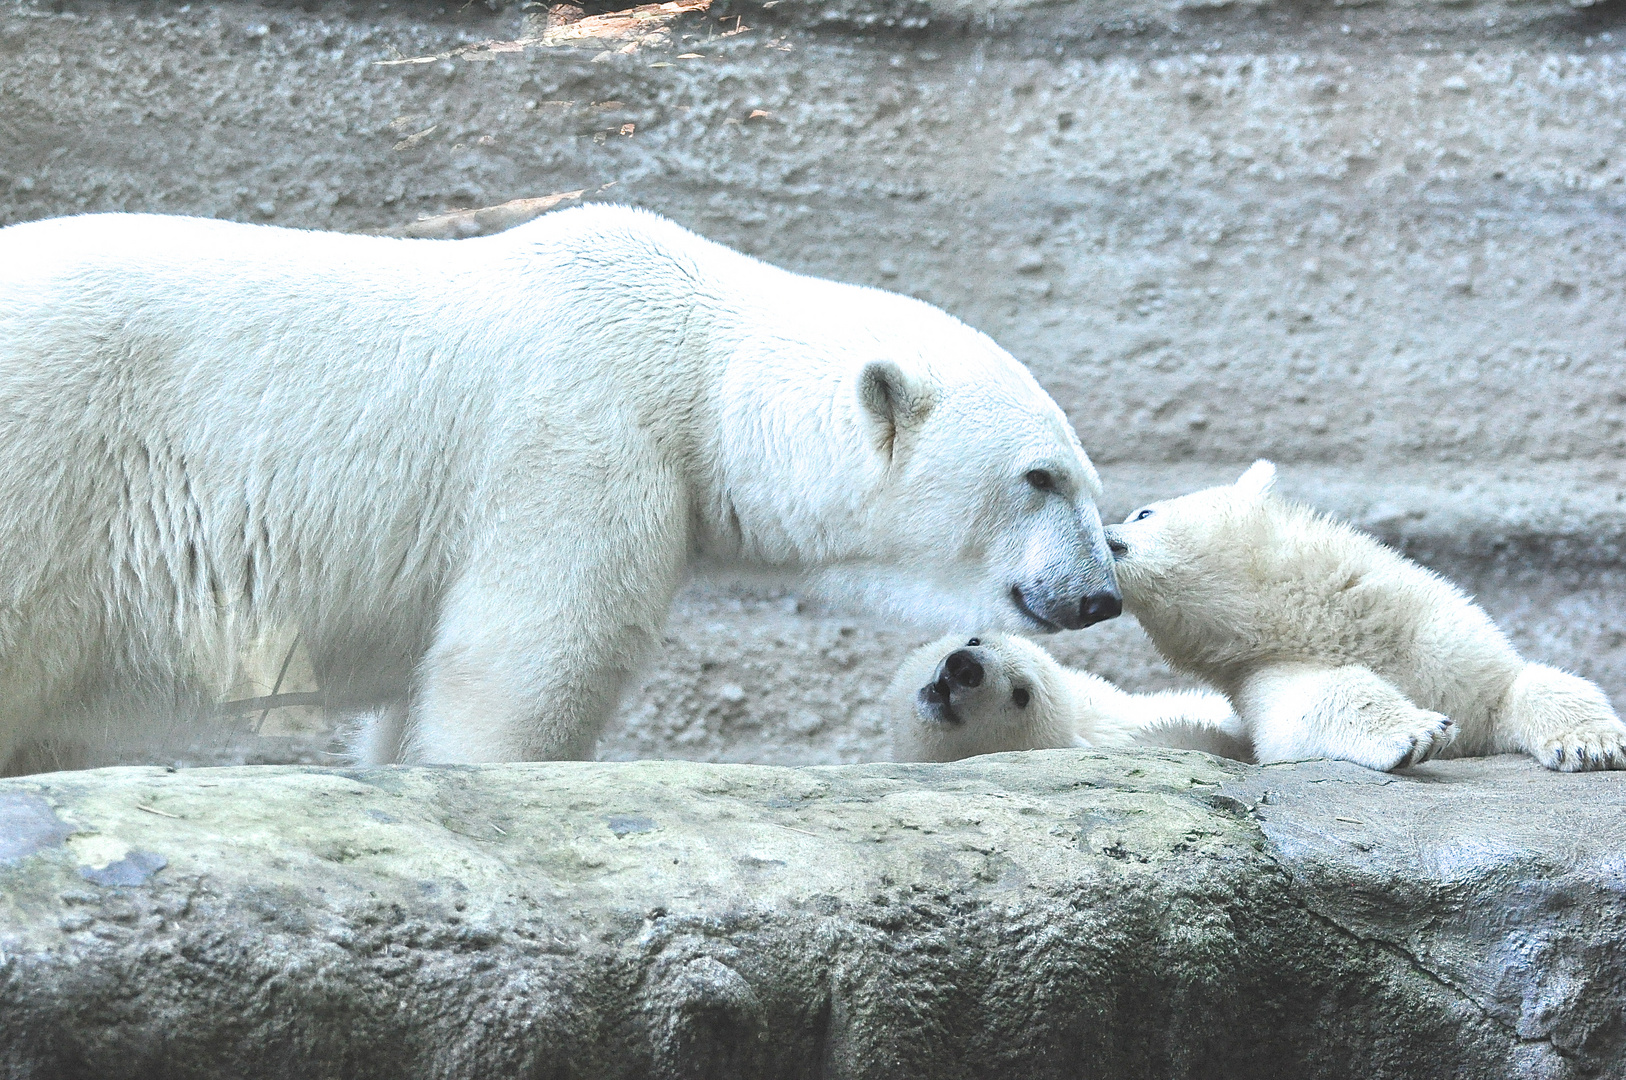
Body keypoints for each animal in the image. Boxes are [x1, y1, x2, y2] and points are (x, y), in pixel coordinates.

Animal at [0, 206, 1118, 770]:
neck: (695, 352)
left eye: (1088, 478)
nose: (1100, 593)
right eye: (1041, 476)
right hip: (49, 460)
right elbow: (525, 667)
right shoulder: (582, 443)